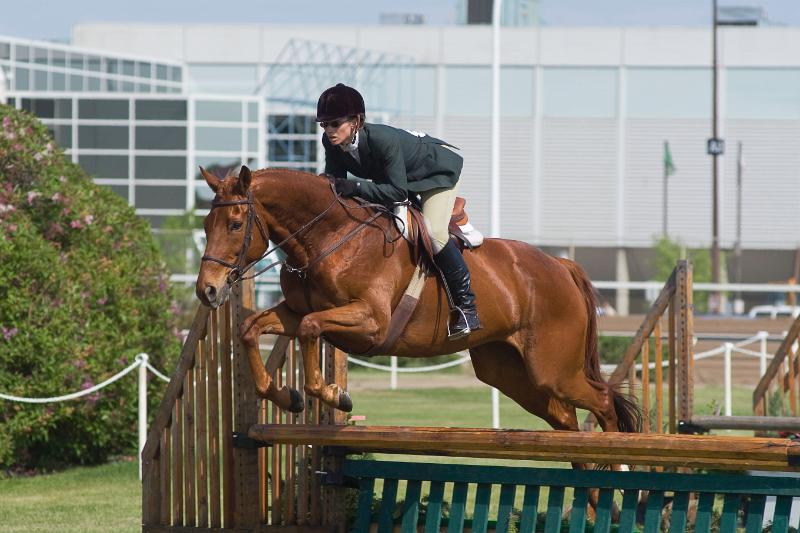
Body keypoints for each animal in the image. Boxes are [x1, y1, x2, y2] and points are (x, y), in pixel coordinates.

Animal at [194, 166, 636, 436]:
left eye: (236, 224)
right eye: (205, 223)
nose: (207, 290)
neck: (328, 237)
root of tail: (560, 265)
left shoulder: (369, 321)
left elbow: (310, 328)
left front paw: (335, 395)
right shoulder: (295, 310)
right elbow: (251, 328)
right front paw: (286, 395)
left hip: (553, 368)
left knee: (602, 401)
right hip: (508, 370)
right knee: (564, 418)